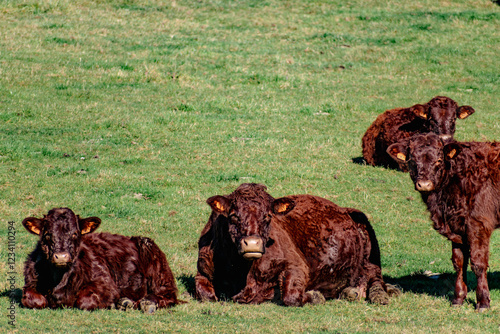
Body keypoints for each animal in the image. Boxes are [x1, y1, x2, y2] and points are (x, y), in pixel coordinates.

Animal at [21, 207, 179, 312]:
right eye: (47, 235)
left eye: (75, 234)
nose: (61, 256)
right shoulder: (29, 282)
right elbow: (34, 300)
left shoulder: (106, 284)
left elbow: (84, 301)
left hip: (158, 272)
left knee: (168, 295)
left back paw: (143, 303)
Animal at [195, 184, 398, 306]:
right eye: (233, 216)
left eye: (268, 216)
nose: (252, 243)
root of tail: (345, 209)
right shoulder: (202, 271)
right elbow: (205, 295)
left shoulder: (296, 264)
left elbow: (290, 296)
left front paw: (315, 295)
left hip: (369, 257)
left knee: (374, 277)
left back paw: (381, 295)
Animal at [386, 133, 500, 310]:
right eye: (412, 160)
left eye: (439, 160)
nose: (424, 184)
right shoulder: (457, 227)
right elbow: (459, 262)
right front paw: (458, 298)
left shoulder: (478, 224)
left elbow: (478, 263)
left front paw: (483, 301)